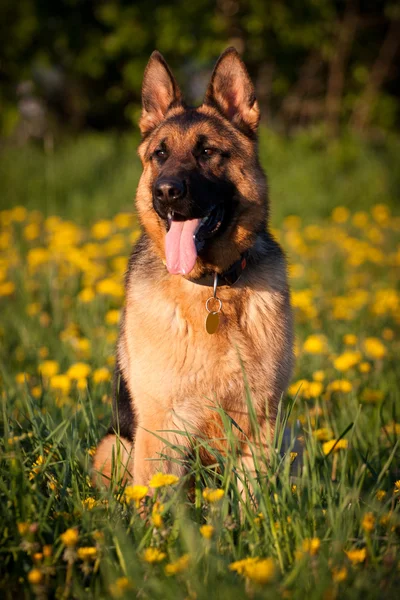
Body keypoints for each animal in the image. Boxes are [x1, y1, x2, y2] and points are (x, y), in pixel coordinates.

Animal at [93, 47, 294, 488]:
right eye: (160, 154)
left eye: (206, 152)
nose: (165, 192)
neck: (212, 288)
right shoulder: (159, 429)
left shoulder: (262, 427)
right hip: (115, 446)